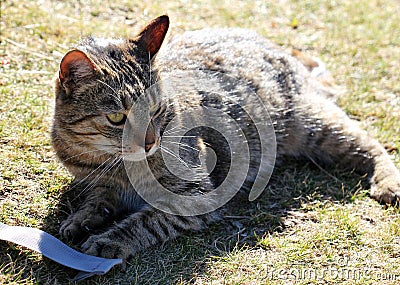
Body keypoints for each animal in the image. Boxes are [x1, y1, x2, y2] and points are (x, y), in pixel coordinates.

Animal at [52, 15, 400, 260]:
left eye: (156, 110)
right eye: (117, 118)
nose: (150, 143)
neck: (116, 165)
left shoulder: (196, 194)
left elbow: (145, 222)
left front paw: (108, 240)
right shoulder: (98, 181)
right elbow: (98, 199)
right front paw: (81, 219)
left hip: (316, 127)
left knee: (371, 143)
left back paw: (389, 182)